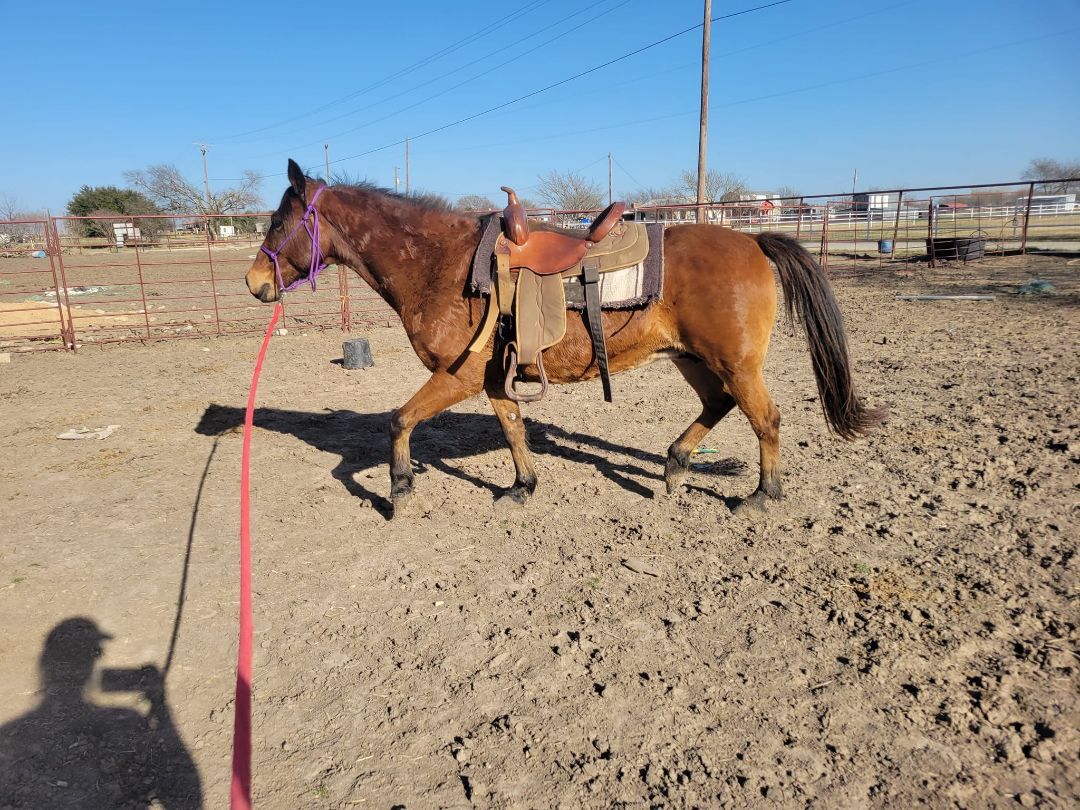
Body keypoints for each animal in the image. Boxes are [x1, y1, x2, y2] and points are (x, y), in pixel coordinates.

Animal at [246, 160, 885, 518]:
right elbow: (512, 428)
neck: (440, 264)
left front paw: (399, 487)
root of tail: (752, 241)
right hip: (693, 359)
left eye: (277, 223)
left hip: (735, 362)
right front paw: (522, 487)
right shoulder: (492, 378)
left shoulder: (456, 374)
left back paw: (761, 496)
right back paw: (675, 465)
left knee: (765, 419)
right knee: (719, 405)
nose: (254, 282)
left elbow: (400, 420)